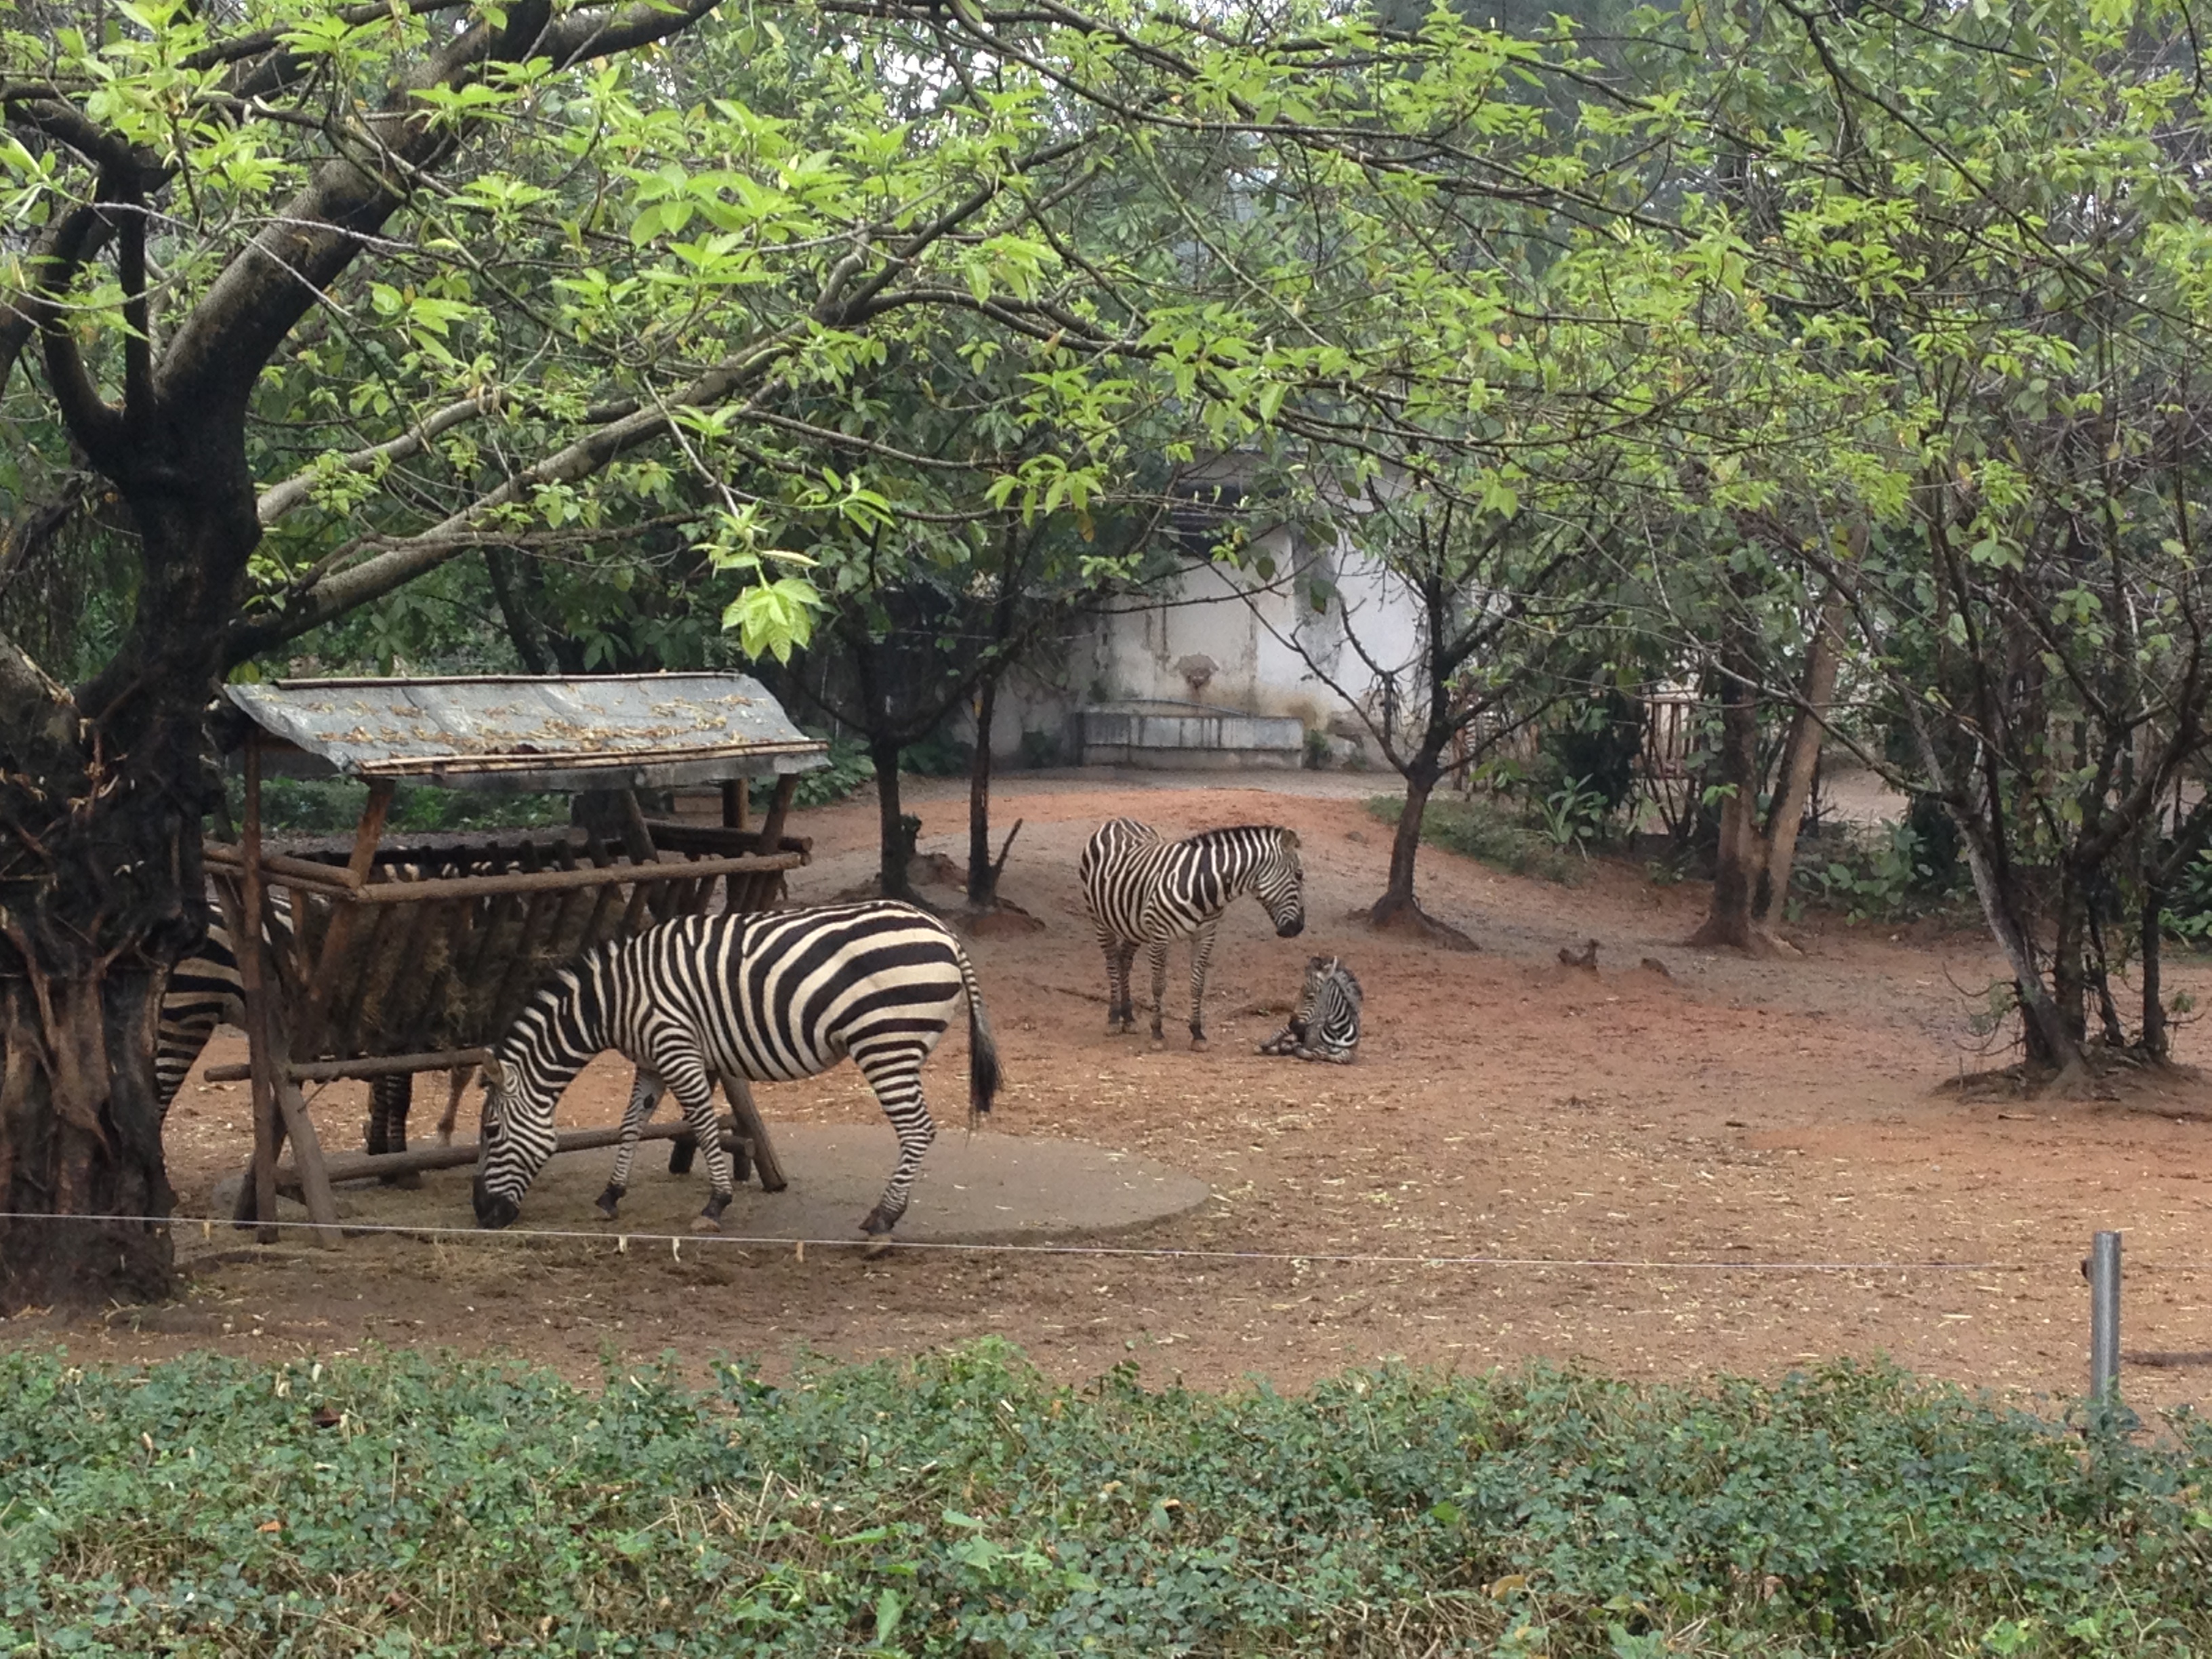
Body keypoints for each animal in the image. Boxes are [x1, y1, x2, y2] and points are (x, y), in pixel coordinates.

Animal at [471, 900, 1001, 1239]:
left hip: (886, 1042)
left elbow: (703, 1125)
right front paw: (610, 1196)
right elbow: (631, 1124)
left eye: (491, 1131)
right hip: (901, 1044)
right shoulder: (651, 1060)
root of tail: (942, 930)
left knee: (917, 1129)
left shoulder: (676, 1048)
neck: (612, 1001)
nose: (481, 1215)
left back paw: (883, 1219)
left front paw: (715, 1204)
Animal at [1079, 818, 1305, 1049]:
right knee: (1112, 964)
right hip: (1099, 918)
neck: (1204, 886)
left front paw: (1197, 1033)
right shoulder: (1159, 935)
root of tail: (1117, 820)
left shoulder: (1205, 935)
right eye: (1299, 875)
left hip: (1132, 925)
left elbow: (1198, 984)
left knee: (1124, 960)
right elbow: (1158, 985)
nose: (1298, 928)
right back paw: (1115, 1018)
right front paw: (1157, 1033)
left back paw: (1129, 1017)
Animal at [1258, 955, 1362, 1064]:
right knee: (1276, 1036)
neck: (1337, 1030)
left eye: (1310, 997)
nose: (1293, 1025)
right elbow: (1313, 1053)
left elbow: (1344, 1056)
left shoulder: (1352, 1052)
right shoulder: (1309, 1044)